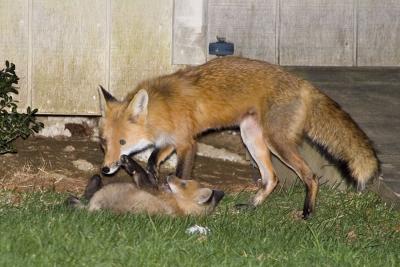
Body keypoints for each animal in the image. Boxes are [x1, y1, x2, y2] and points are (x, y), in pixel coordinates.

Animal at [98, 56, 380, 218]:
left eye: (122, 142)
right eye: (104, 143)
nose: (105, 169)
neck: (163, 107)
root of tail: (304, 84)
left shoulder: (188, 143)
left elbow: (181, 175)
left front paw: (178, 198)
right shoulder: (172, 140)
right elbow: (153, 157)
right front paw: (152, 173)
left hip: (277, 142)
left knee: (310, 176)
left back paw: (307, 212)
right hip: (252, 137)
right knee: (271, 178)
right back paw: (252, 206)